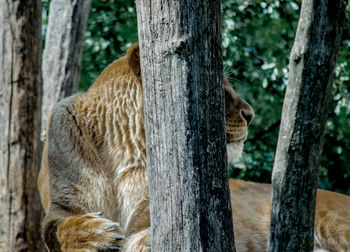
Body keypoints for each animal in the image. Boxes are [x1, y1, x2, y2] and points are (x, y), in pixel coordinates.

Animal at [39, 42, 350, 251]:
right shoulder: (61, 205)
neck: (124, 151)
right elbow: (52, 230)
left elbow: (156, 234)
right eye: (217, 89)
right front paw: (94, 235)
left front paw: (136, 241)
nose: (250, 114)